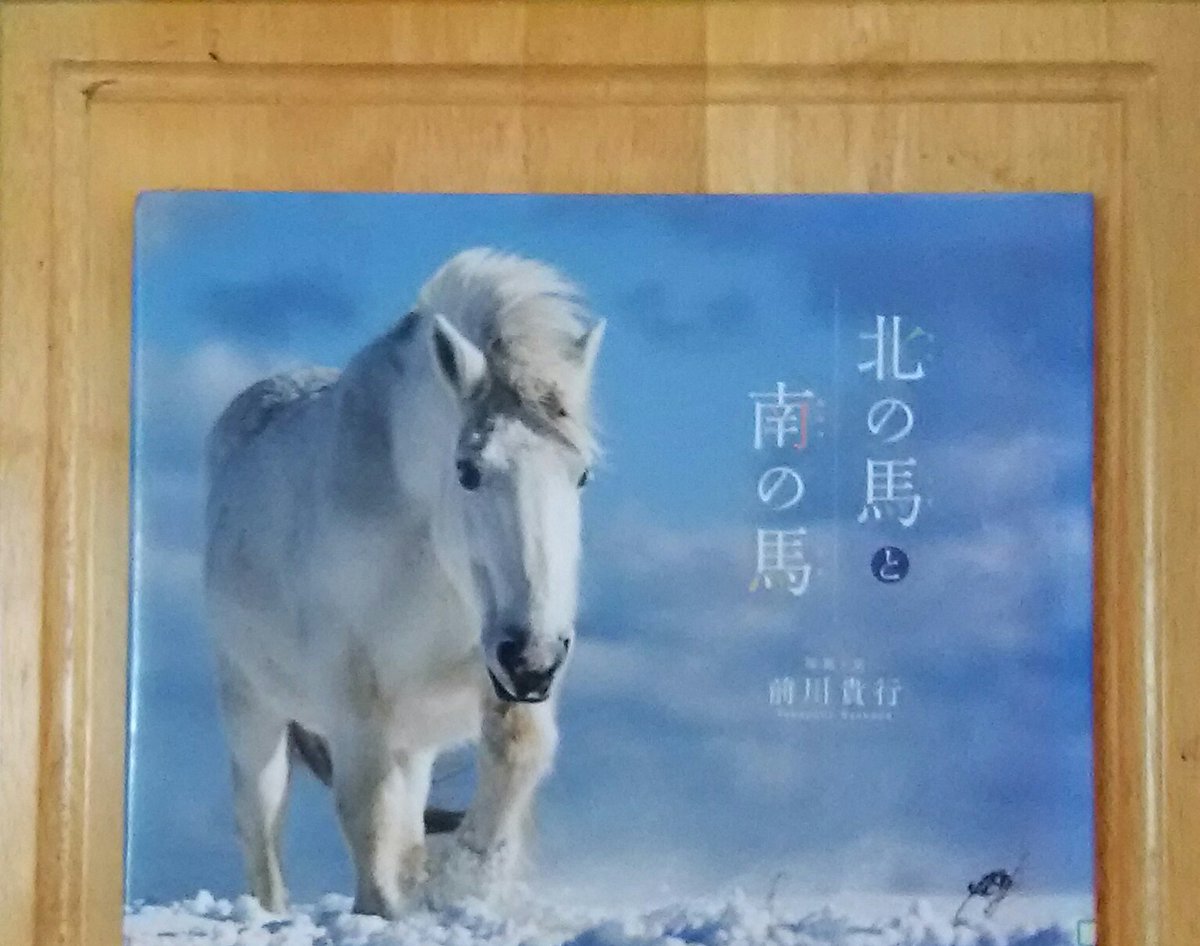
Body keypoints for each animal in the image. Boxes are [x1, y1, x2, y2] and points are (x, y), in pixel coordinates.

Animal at [203, 248, 604, 917]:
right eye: (468, 470)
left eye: (582, 475)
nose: (533, 659)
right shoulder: (352, 688)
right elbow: (364, 806)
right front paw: (385, 906)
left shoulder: (501, 660)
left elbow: (517, 748)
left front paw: (466, 879)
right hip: (251, 704)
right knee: (261, 822)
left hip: (415, 733)